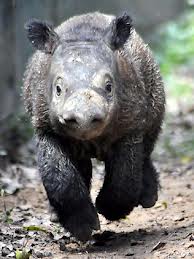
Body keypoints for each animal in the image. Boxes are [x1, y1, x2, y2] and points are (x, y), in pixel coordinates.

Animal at [23, 11, 165, 242]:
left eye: (109, 87)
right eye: (58, 89)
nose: (84, 120)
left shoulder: (129, 127)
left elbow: (125, 175)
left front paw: (109, 210)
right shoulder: (46, 128)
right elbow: (58, 174)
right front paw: (83, 228)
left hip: (152, 81)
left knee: (147, 143)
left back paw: (148, 199)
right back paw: (55, 216)